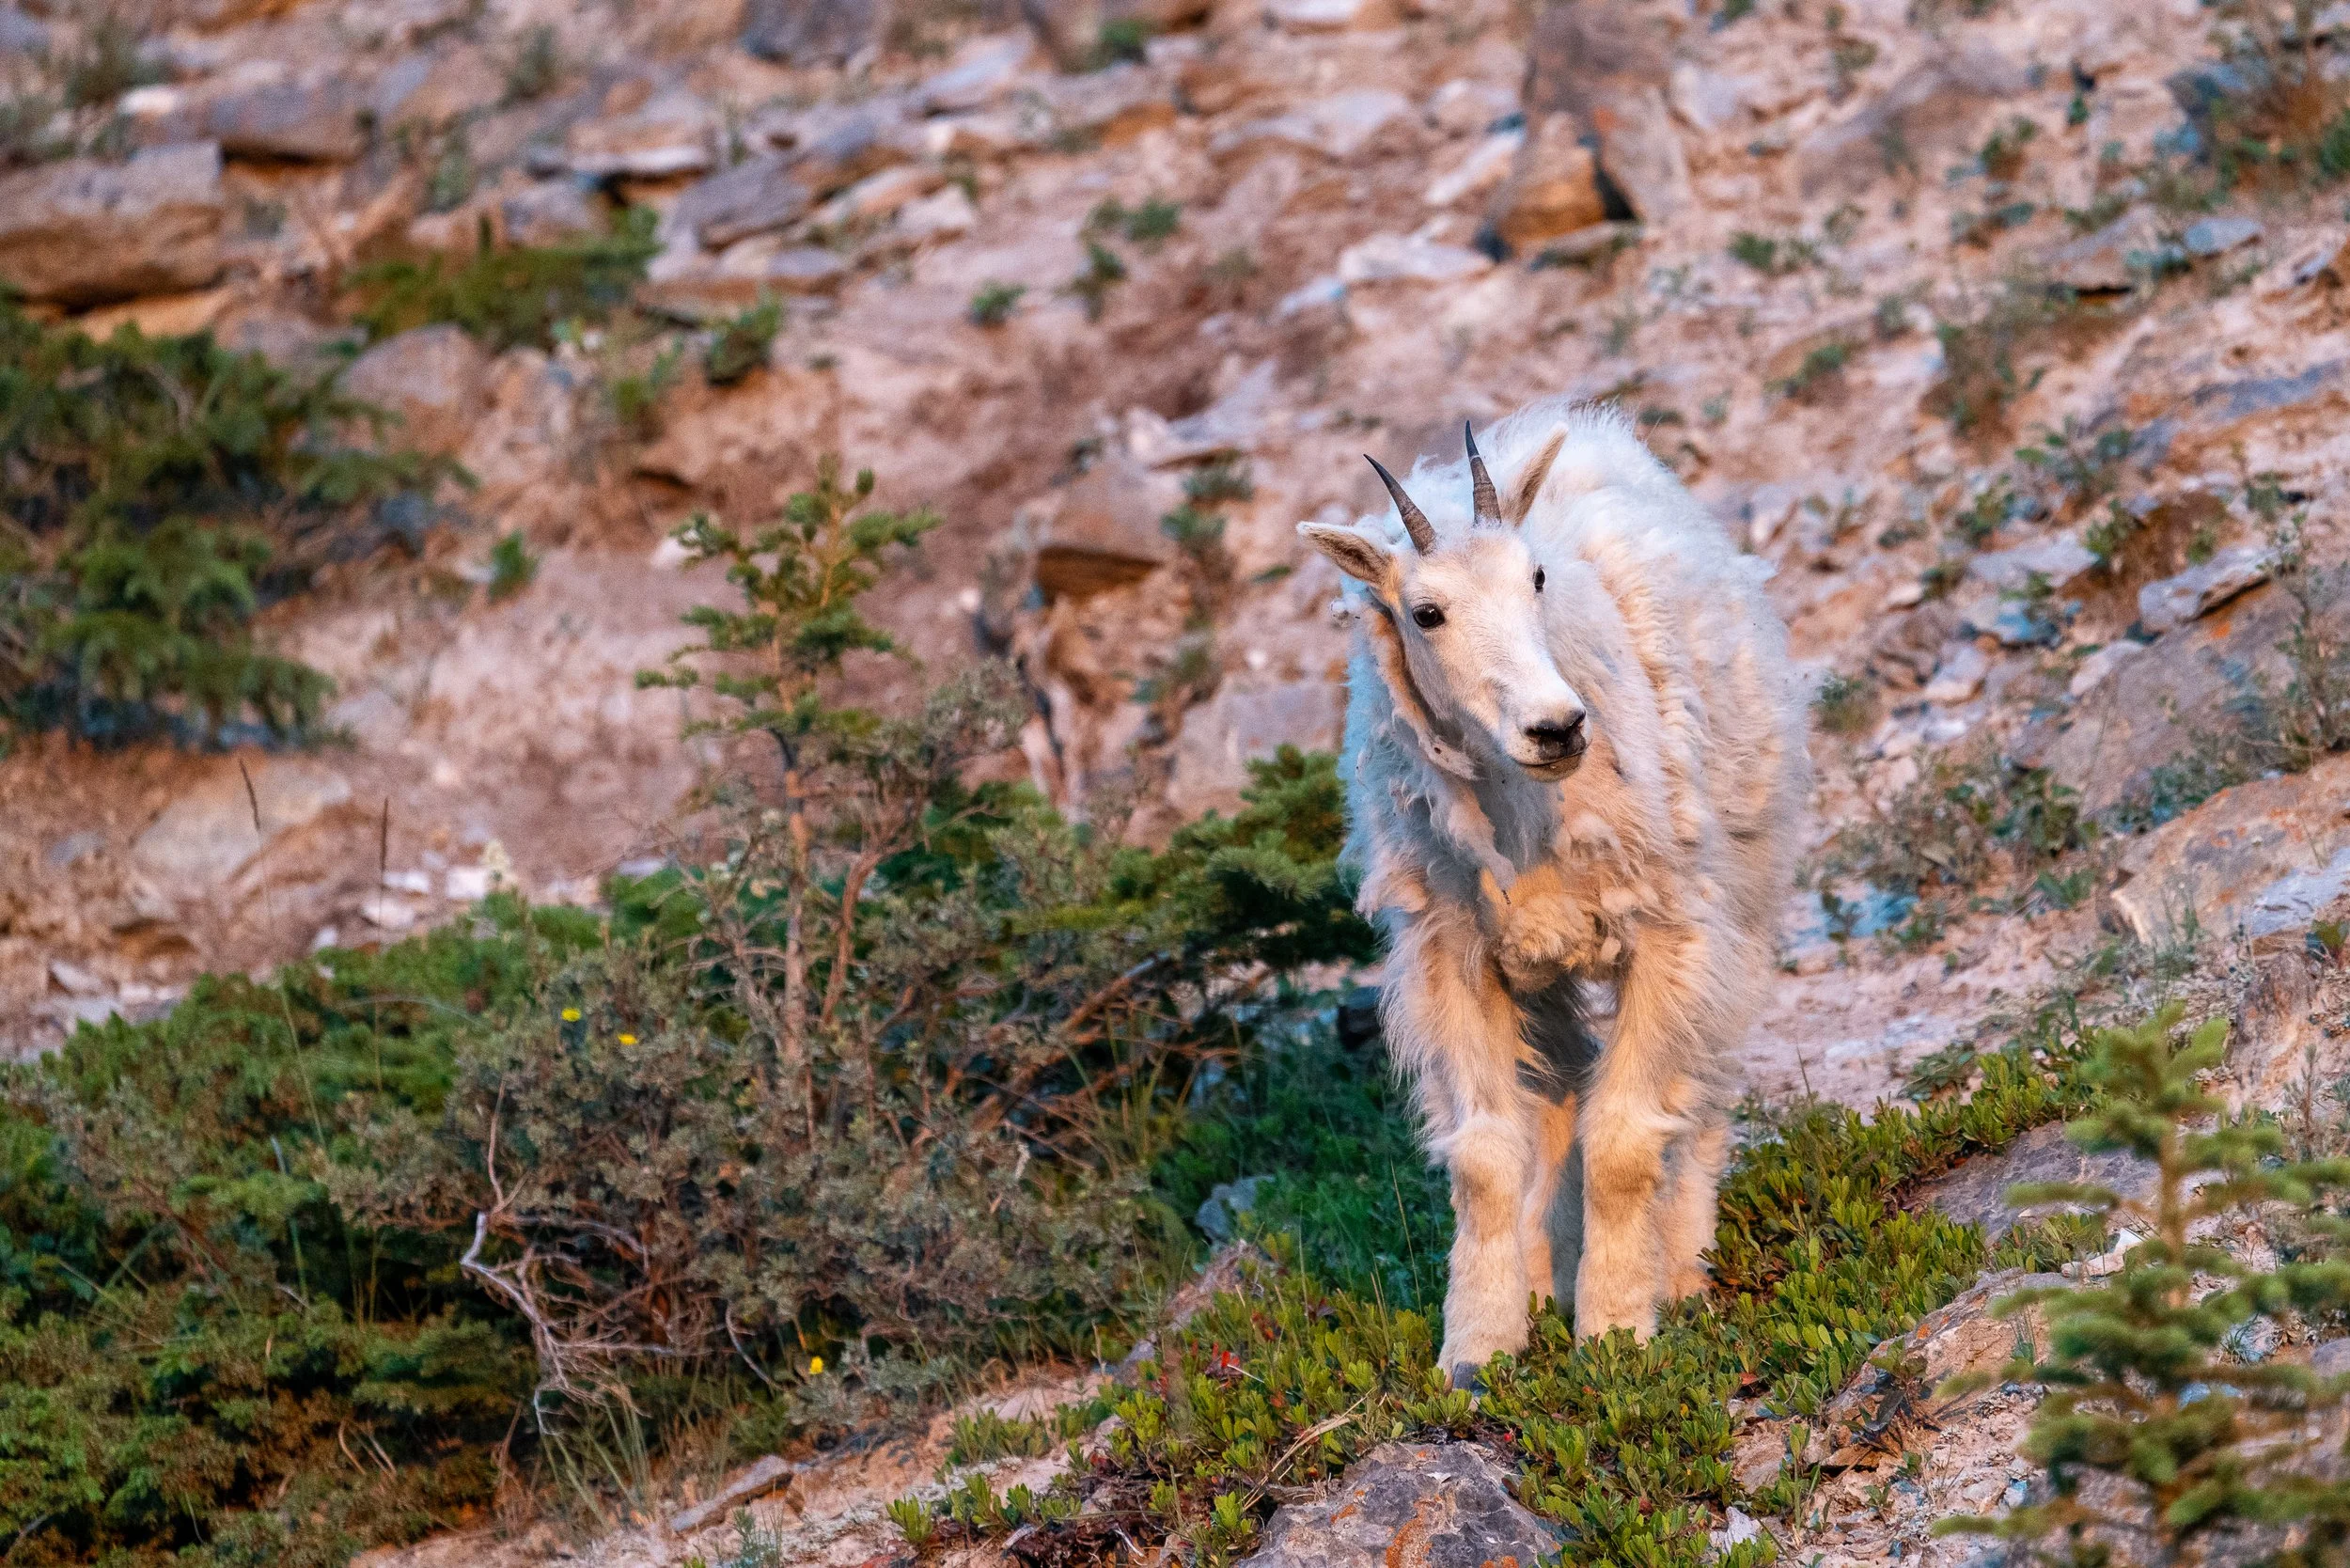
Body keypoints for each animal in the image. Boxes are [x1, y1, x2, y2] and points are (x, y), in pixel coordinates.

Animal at [1299, 401, 1808, 1382]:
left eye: (1535, 577)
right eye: (1426, 612)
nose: (1558, 727)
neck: (1525, 815)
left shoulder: (1667, 935)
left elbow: (1622, 1136)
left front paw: (1617, 1334)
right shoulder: (1456, 958)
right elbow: (1488, 1155)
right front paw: (1477, 1353)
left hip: (1744, 887)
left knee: (1702, 1085)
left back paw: (1680, 1268)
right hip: (1544, 972)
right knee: (1558, 1100)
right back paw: (1548, 1284)